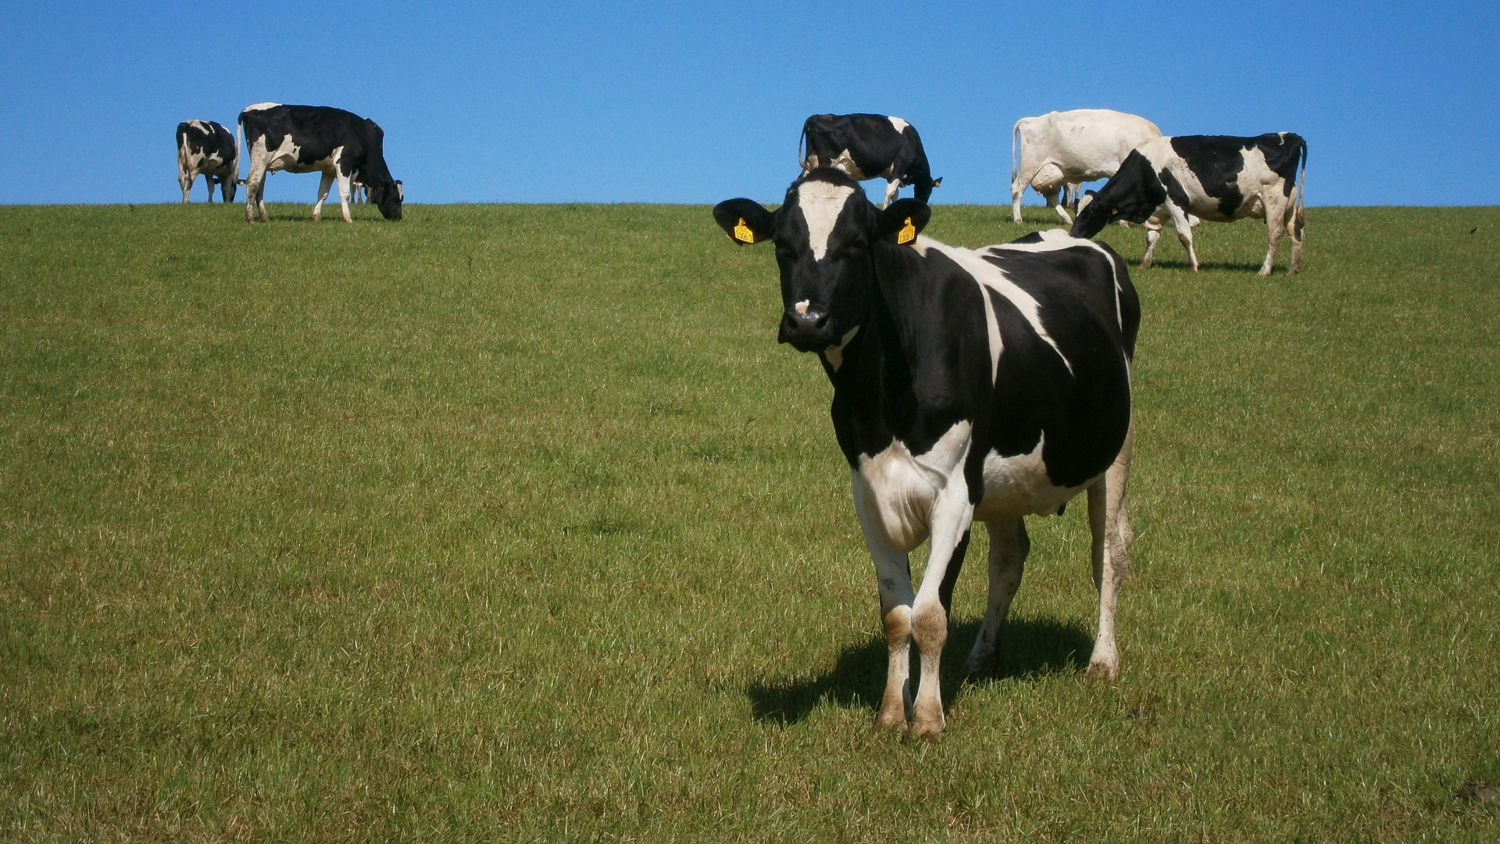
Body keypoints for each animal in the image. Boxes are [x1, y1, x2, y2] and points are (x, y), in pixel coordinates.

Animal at [235, 103, 402, 224]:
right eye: (395, 197)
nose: (399, 218)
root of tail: (248, 110)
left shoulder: (328, 169)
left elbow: (323, 193)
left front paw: (315, 216)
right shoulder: (344, 163)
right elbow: (345, 193)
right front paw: (348, 218)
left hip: (263, 163)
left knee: (260, 187)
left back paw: (264, 217)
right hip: (260, 158)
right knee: (252, 184)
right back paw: (250, 218)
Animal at [714, 168, 1134, 737]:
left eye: (858, 245)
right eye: (782, 246)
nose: (806, 321)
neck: (881, 396)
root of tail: (1077, 237)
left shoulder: (955, 492)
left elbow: (931, 614)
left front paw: (929, 719)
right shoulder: (869, 493)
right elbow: (897, 615)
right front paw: (893, 712)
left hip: (1114, 452)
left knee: (1108, 551)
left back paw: (1103, 662)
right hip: (1002, 479)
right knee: (1008, 560)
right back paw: (981, 659)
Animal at [798, 113, 936, 208]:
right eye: (929, 189)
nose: (923, 203)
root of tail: (816, 117)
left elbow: (895, 194)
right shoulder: (899, 166)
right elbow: (890, 192)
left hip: (811, 160)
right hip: (828, 160)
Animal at [1014, 110, 1164, 226]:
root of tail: (1030, 119)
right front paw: (1125, 223)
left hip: (1055, 171)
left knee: (1052, 196)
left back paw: (1067, 219)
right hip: (1030, 164)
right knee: (1017, 189)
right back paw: (1018, 220)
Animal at [1074, 133, 1308, 275]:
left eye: (1089, 213)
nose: (1073, 234)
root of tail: (1290, 136)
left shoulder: (1175, 200)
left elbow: (1184, 235)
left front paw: (1194, 266)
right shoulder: (1158, 211)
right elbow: (1152, 237)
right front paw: (1144, 263)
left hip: (1274, 200)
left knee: (1275, 234)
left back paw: (1264, 270)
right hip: (1288, 205)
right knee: (1295, 233)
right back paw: (1293, 269)